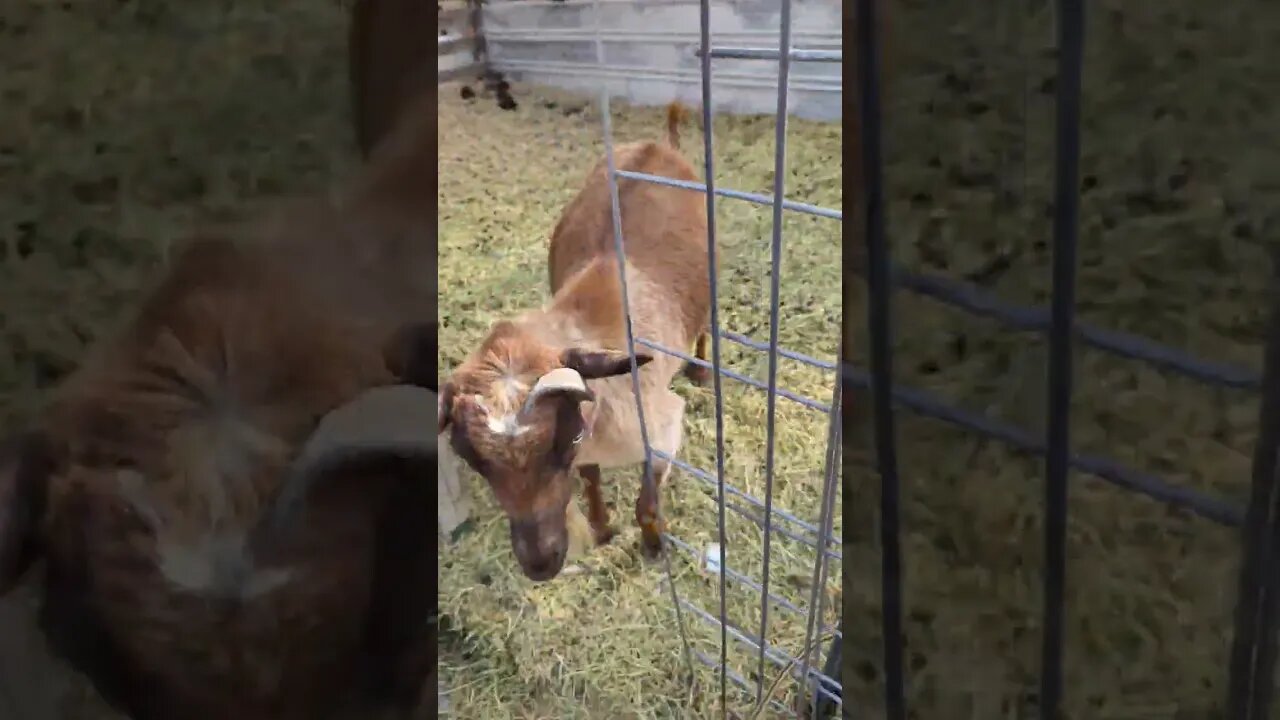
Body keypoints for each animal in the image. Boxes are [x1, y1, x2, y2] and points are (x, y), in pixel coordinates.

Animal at [438, 102, 713, 582]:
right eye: (473, 458)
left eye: (561, 441)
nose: (540, 563)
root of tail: (660, 144)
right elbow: (590, 480)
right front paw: (602, 527)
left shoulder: (664, 430)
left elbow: (646, 506)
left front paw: (653, 545)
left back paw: (701, 370)